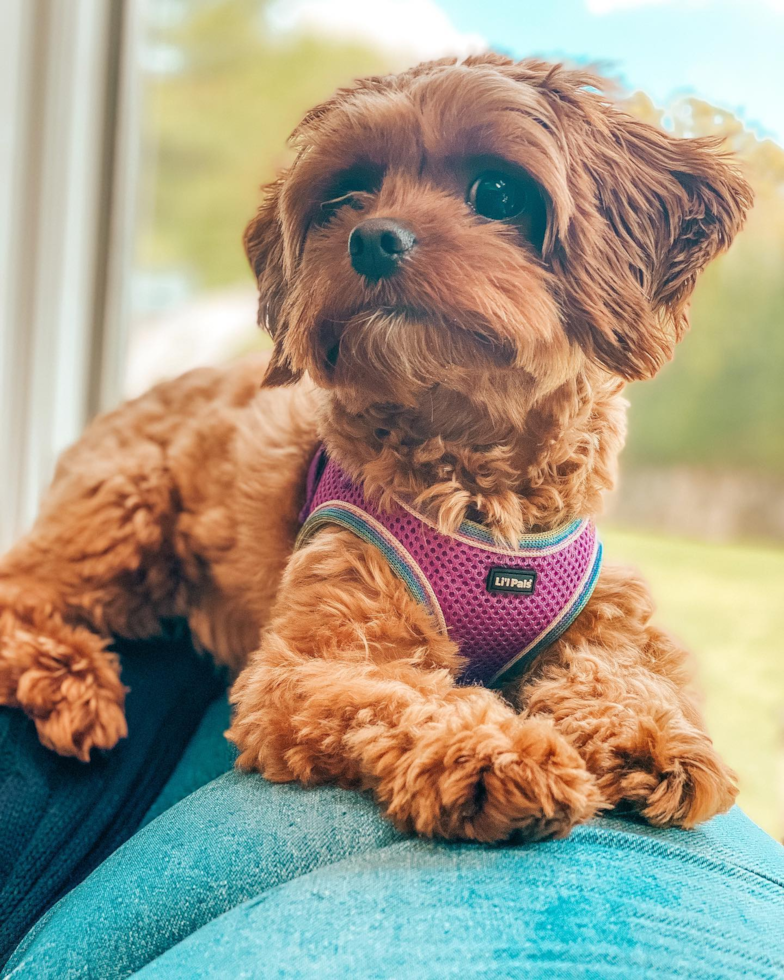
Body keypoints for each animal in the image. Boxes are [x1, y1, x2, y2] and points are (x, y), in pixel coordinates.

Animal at [0, 55, 752, 844]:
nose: (372, 238)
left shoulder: (607, 616)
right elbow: (402, 693)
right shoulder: (318, 656)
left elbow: (626, 671)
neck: (479, 486)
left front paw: (654, 737)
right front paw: (496, 751)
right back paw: (71, 681)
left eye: (497, 192)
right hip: (125, 507)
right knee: (21, 590)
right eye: (347, 194)